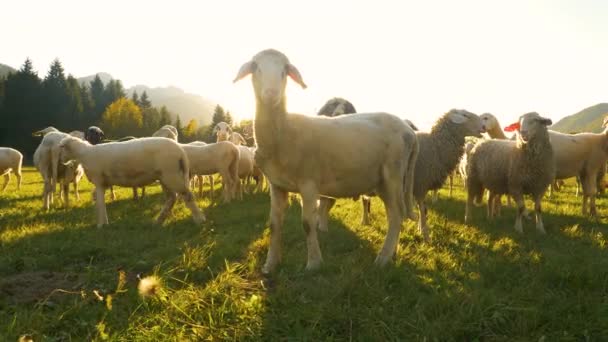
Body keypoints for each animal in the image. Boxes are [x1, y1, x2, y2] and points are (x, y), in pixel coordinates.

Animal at [58, 136, 204, 227]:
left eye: (62, 147)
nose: (61, 161)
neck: (84, 154)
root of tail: (181, 152)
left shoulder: (98, 180)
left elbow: (100, 202)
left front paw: (101, 224)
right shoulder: (104, 183)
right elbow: (98, 199)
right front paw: (102, 221)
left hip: (171, 174)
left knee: (187, 196)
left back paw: (199, 220)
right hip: (165, 176)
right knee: (172, 198)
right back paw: (158, 221)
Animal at [233, 48, 418, 272]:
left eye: (285, 71)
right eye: (255, 67)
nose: (270, 94)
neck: (284, 132)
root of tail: (409, 131)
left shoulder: (309, 184)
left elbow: (307, 223)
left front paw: (314, 263)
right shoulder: (276, 185)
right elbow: (274, 224)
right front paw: (270, 264)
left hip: (393, 174)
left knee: (397, 216)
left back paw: (382, 259)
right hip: (383, 181)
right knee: (395, 215)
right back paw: (391, 255)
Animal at [358, 109, 482, 240]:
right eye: (465, 115)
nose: (484, 126)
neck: (435, 145)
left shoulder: (421, 185)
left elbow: (422, 208)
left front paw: (419, 227)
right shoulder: (420, 184)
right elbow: (422, 209)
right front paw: (424, 233)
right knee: (365, 201)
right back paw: (365, 220)